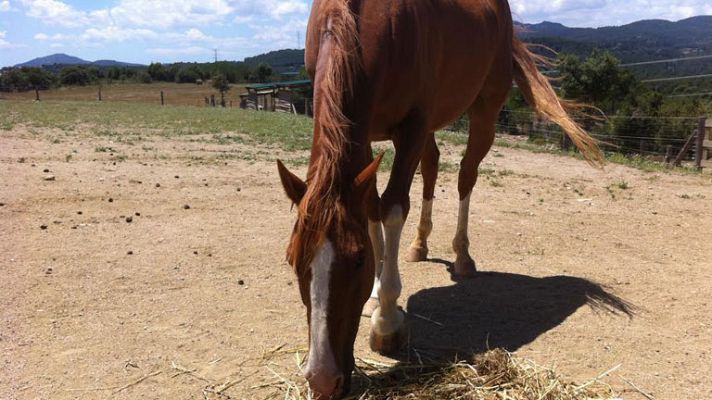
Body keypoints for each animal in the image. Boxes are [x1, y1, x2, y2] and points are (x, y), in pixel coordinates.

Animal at [276, 0, 603, 397]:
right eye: (293, 260)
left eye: (357, 260)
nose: (324, 381)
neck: (367, 22)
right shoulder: (364, 131)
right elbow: (370, 208)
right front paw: (377, 291)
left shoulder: (412, 125)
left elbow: (392, 208)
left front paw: (387, 321)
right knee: (431, 167)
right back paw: (419, 244)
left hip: (484, 111)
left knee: (466, 177)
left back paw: (462, 256)